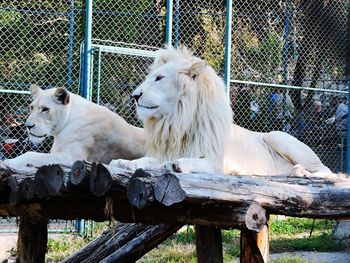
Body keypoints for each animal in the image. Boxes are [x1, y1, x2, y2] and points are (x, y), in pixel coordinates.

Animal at [4, 85, 146, 171]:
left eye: (45, 109)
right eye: (31, 107)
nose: (28, 126)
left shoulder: (70, 158)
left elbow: (31, 154)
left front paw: (10, 162)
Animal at [111, 47, 334, 177]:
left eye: (159, 78)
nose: (134, 95)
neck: (178, 121)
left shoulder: (217, 163)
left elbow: (190, 162)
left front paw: (176, 165)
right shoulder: (165, 152)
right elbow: (144, 161)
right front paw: (122, 162)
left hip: (278, 136)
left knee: (329, 171)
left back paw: (302, 172)